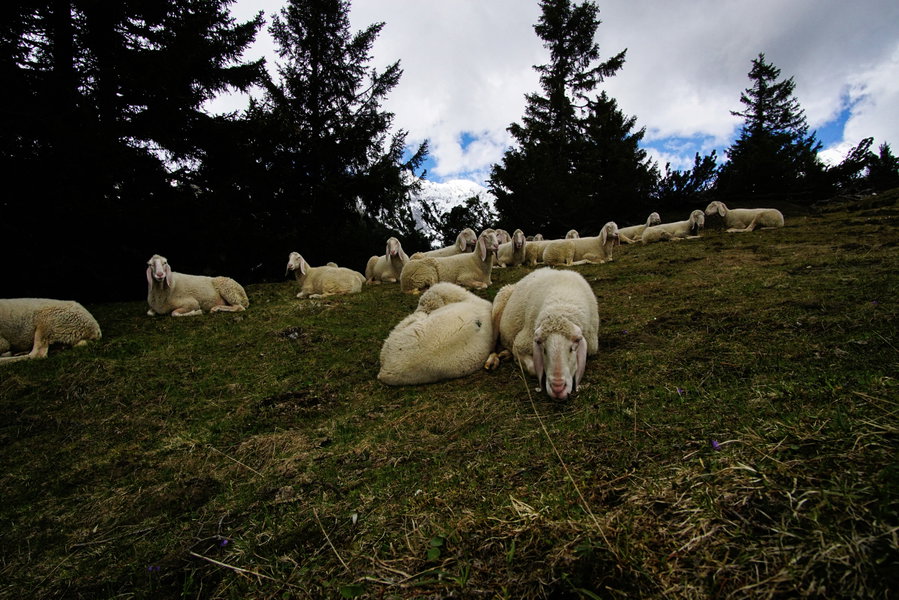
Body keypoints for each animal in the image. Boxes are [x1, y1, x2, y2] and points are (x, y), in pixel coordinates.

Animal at [485, 268, 599, 400]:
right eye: (543, 349)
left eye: (572, 349)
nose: (558, 388)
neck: (560, 304)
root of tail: (515, 283)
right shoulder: (520, 343)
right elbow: (533, 368)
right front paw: (518, 361)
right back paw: (493, 360)